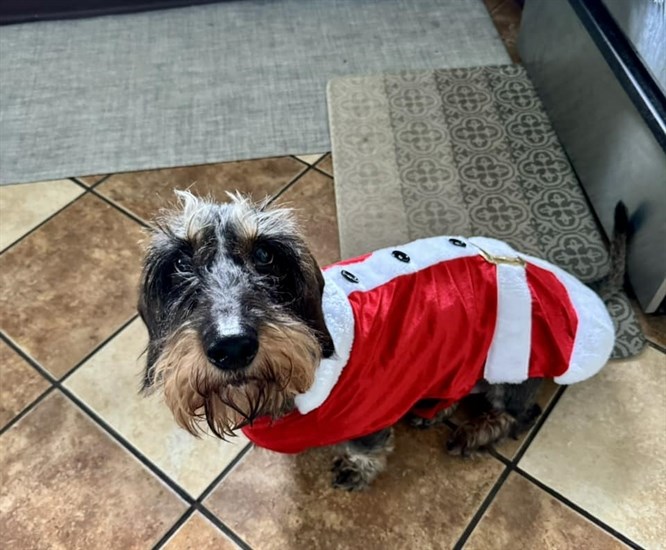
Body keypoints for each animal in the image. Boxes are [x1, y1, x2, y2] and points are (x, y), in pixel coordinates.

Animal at [137, 193, 624, 492]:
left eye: (265, 254)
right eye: (179, 263)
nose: (232, 346)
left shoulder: (372, 411)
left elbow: (366, 447)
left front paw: (357, 468)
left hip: (512, 368)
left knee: (516, 416)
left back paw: (474, 430)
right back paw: (435, 409)